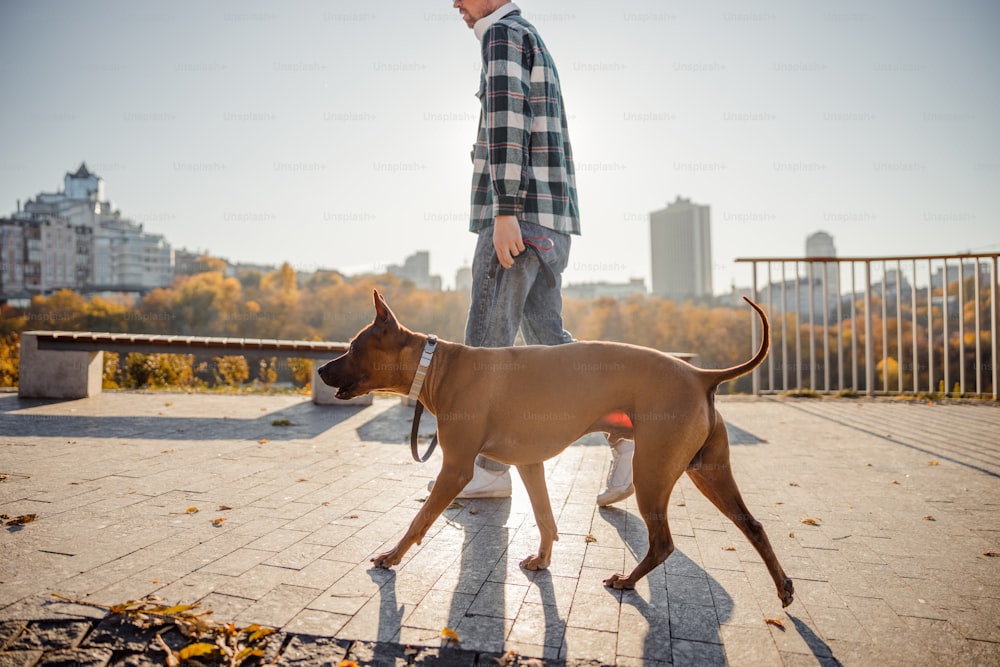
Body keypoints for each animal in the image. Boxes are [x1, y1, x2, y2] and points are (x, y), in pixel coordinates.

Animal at [316, 290, 792, 608]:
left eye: (353, 347)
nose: (320, 369)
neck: (439, 365)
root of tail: (700, 375)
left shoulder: (456, 469)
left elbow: (420, 520)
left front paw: (392, 556)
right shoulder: (531, 464)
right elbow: (545, 518)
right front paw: (544, 559)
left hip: (653, 474)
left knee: (663, 543)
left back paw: (627, 581)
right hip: (708, 471)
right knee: (753, 525)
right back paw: (784, 587)